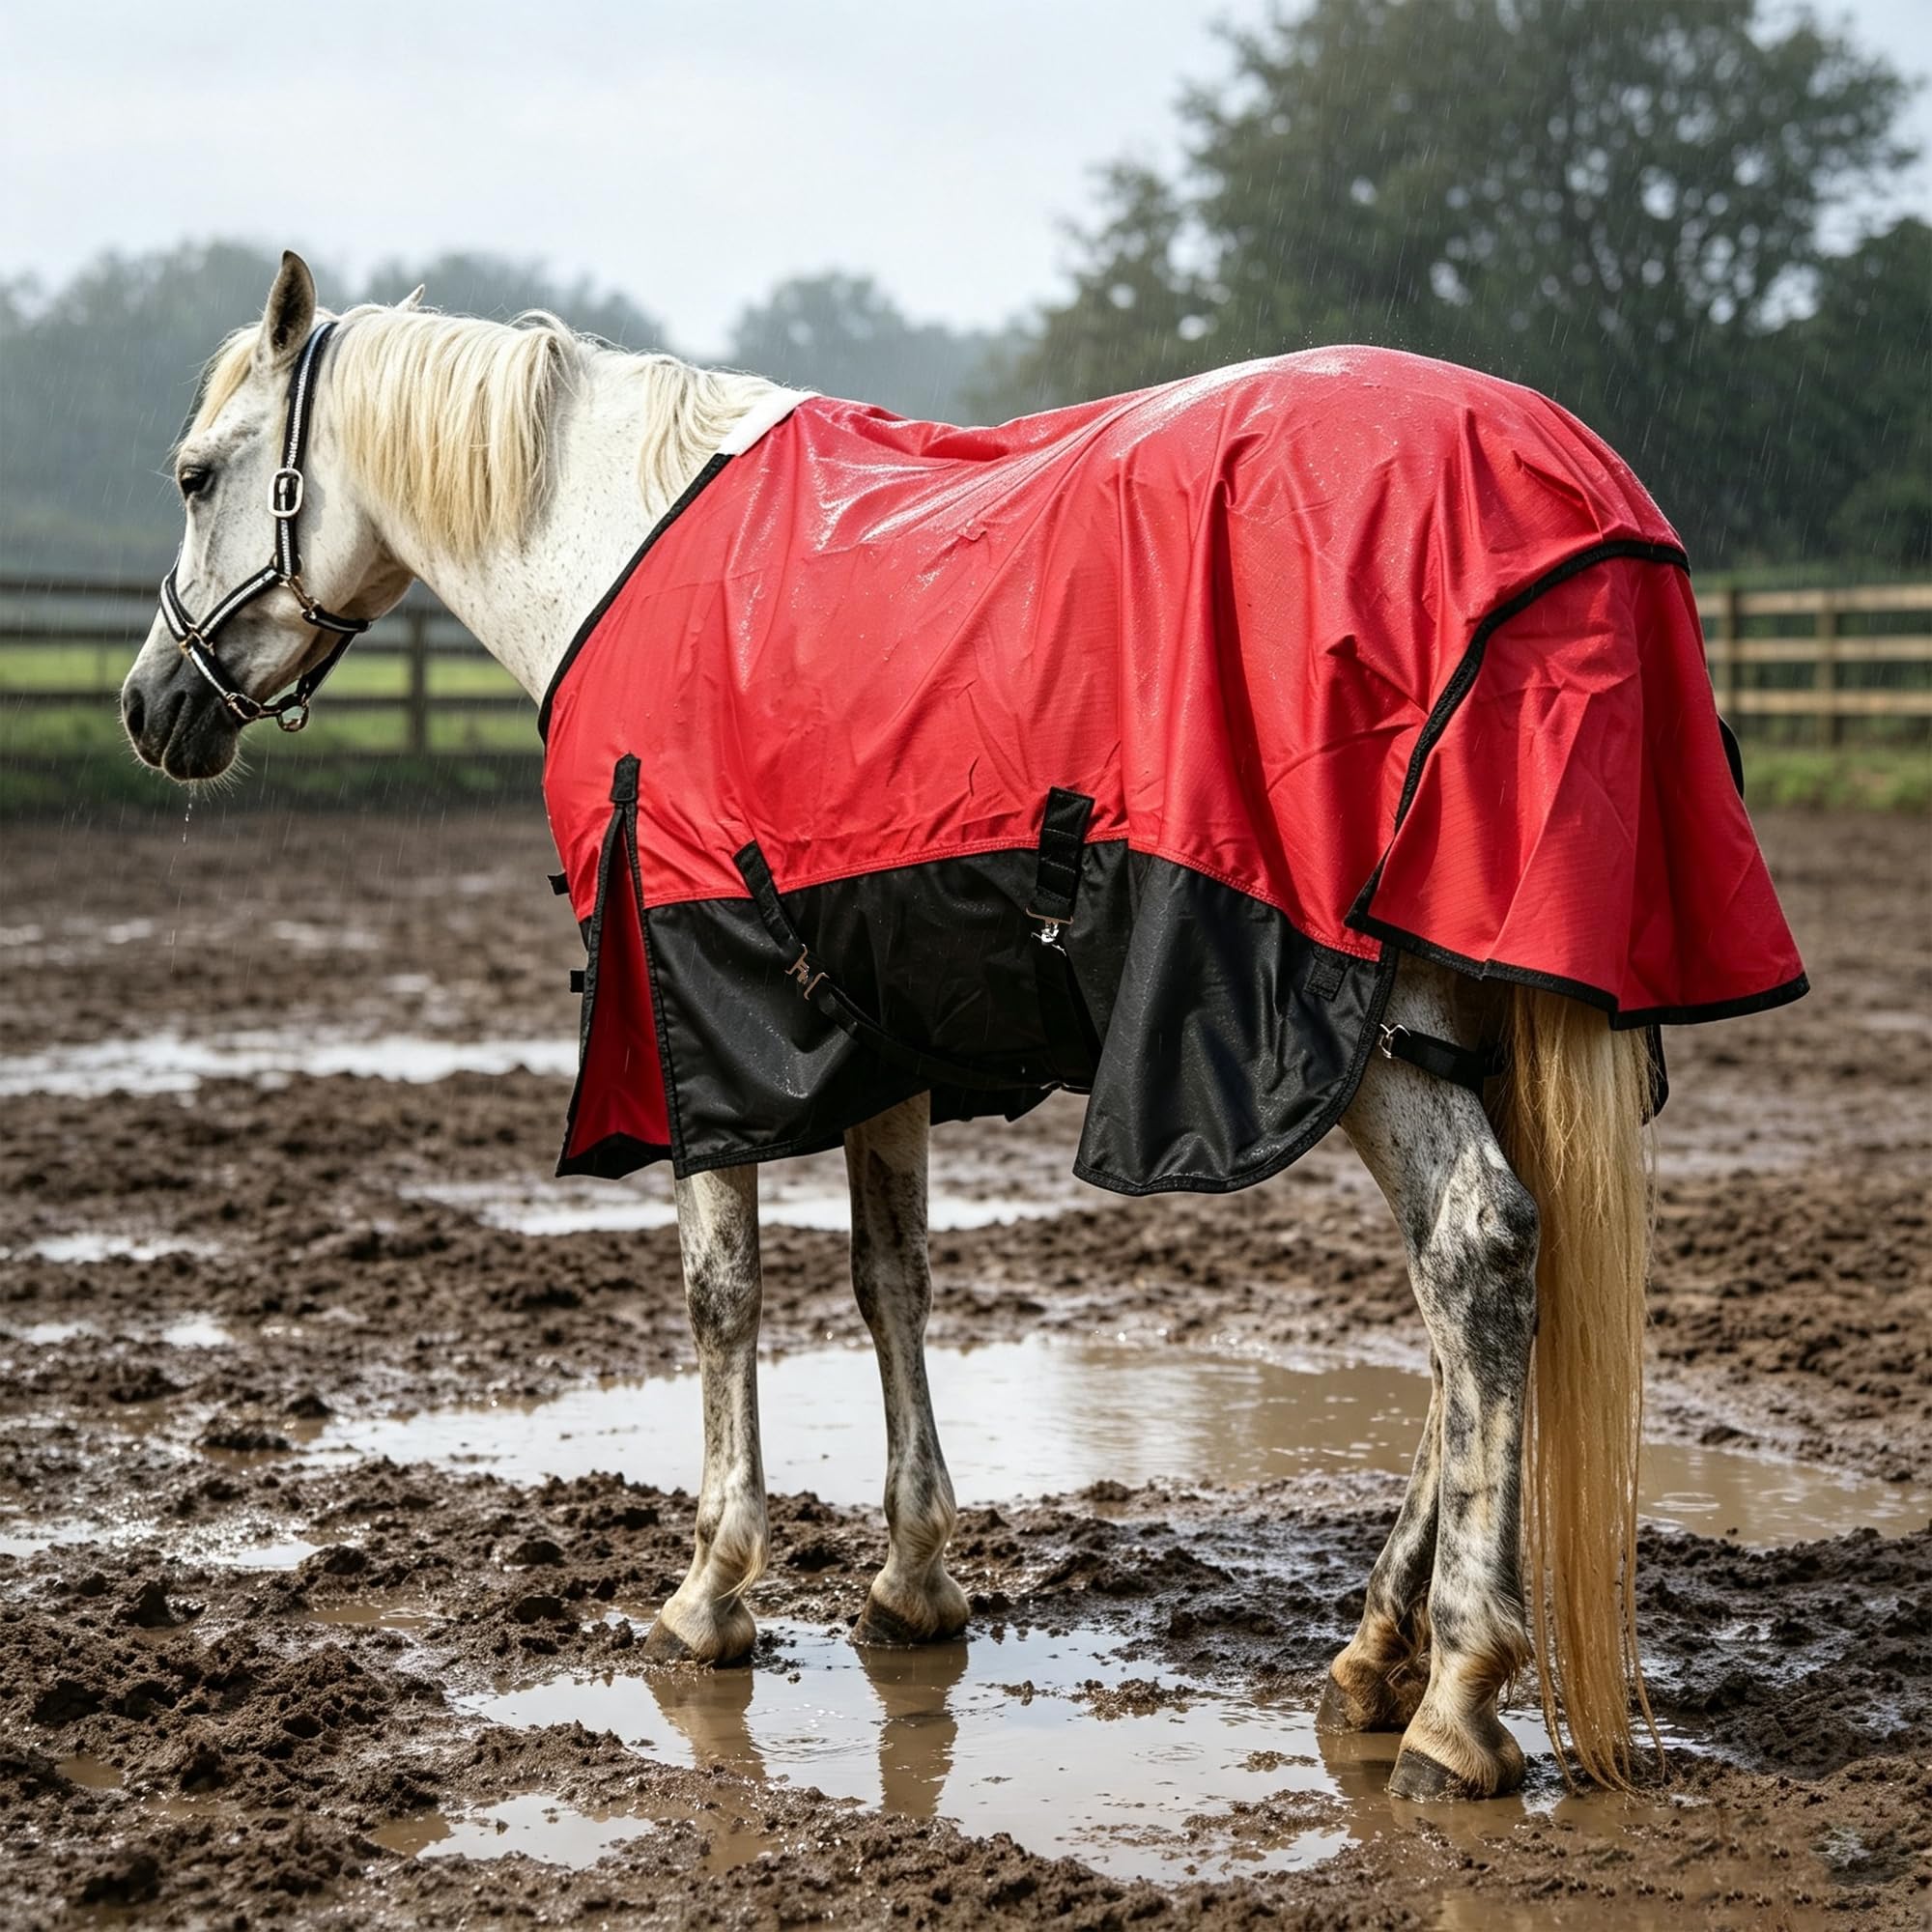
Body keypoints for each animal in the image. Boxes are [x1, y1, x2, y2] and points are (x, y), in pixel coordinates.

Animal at [120, 252, 1804, 1802]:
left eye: (197, 477)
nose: (150, 707)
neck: (610, 545)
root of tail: (1578, 506)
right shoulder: (871, 1015)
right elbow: (893, 1281)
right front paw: (914, 1584)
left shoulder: (688, 1020)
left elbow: (722, 1296)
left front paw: (708, 1595)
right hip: (1466, 1025)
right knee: (1481, 1310)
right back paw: (1378, 1655)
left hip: (1369, 1034)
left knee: (1475, 1261)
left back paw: (1456, 1696)